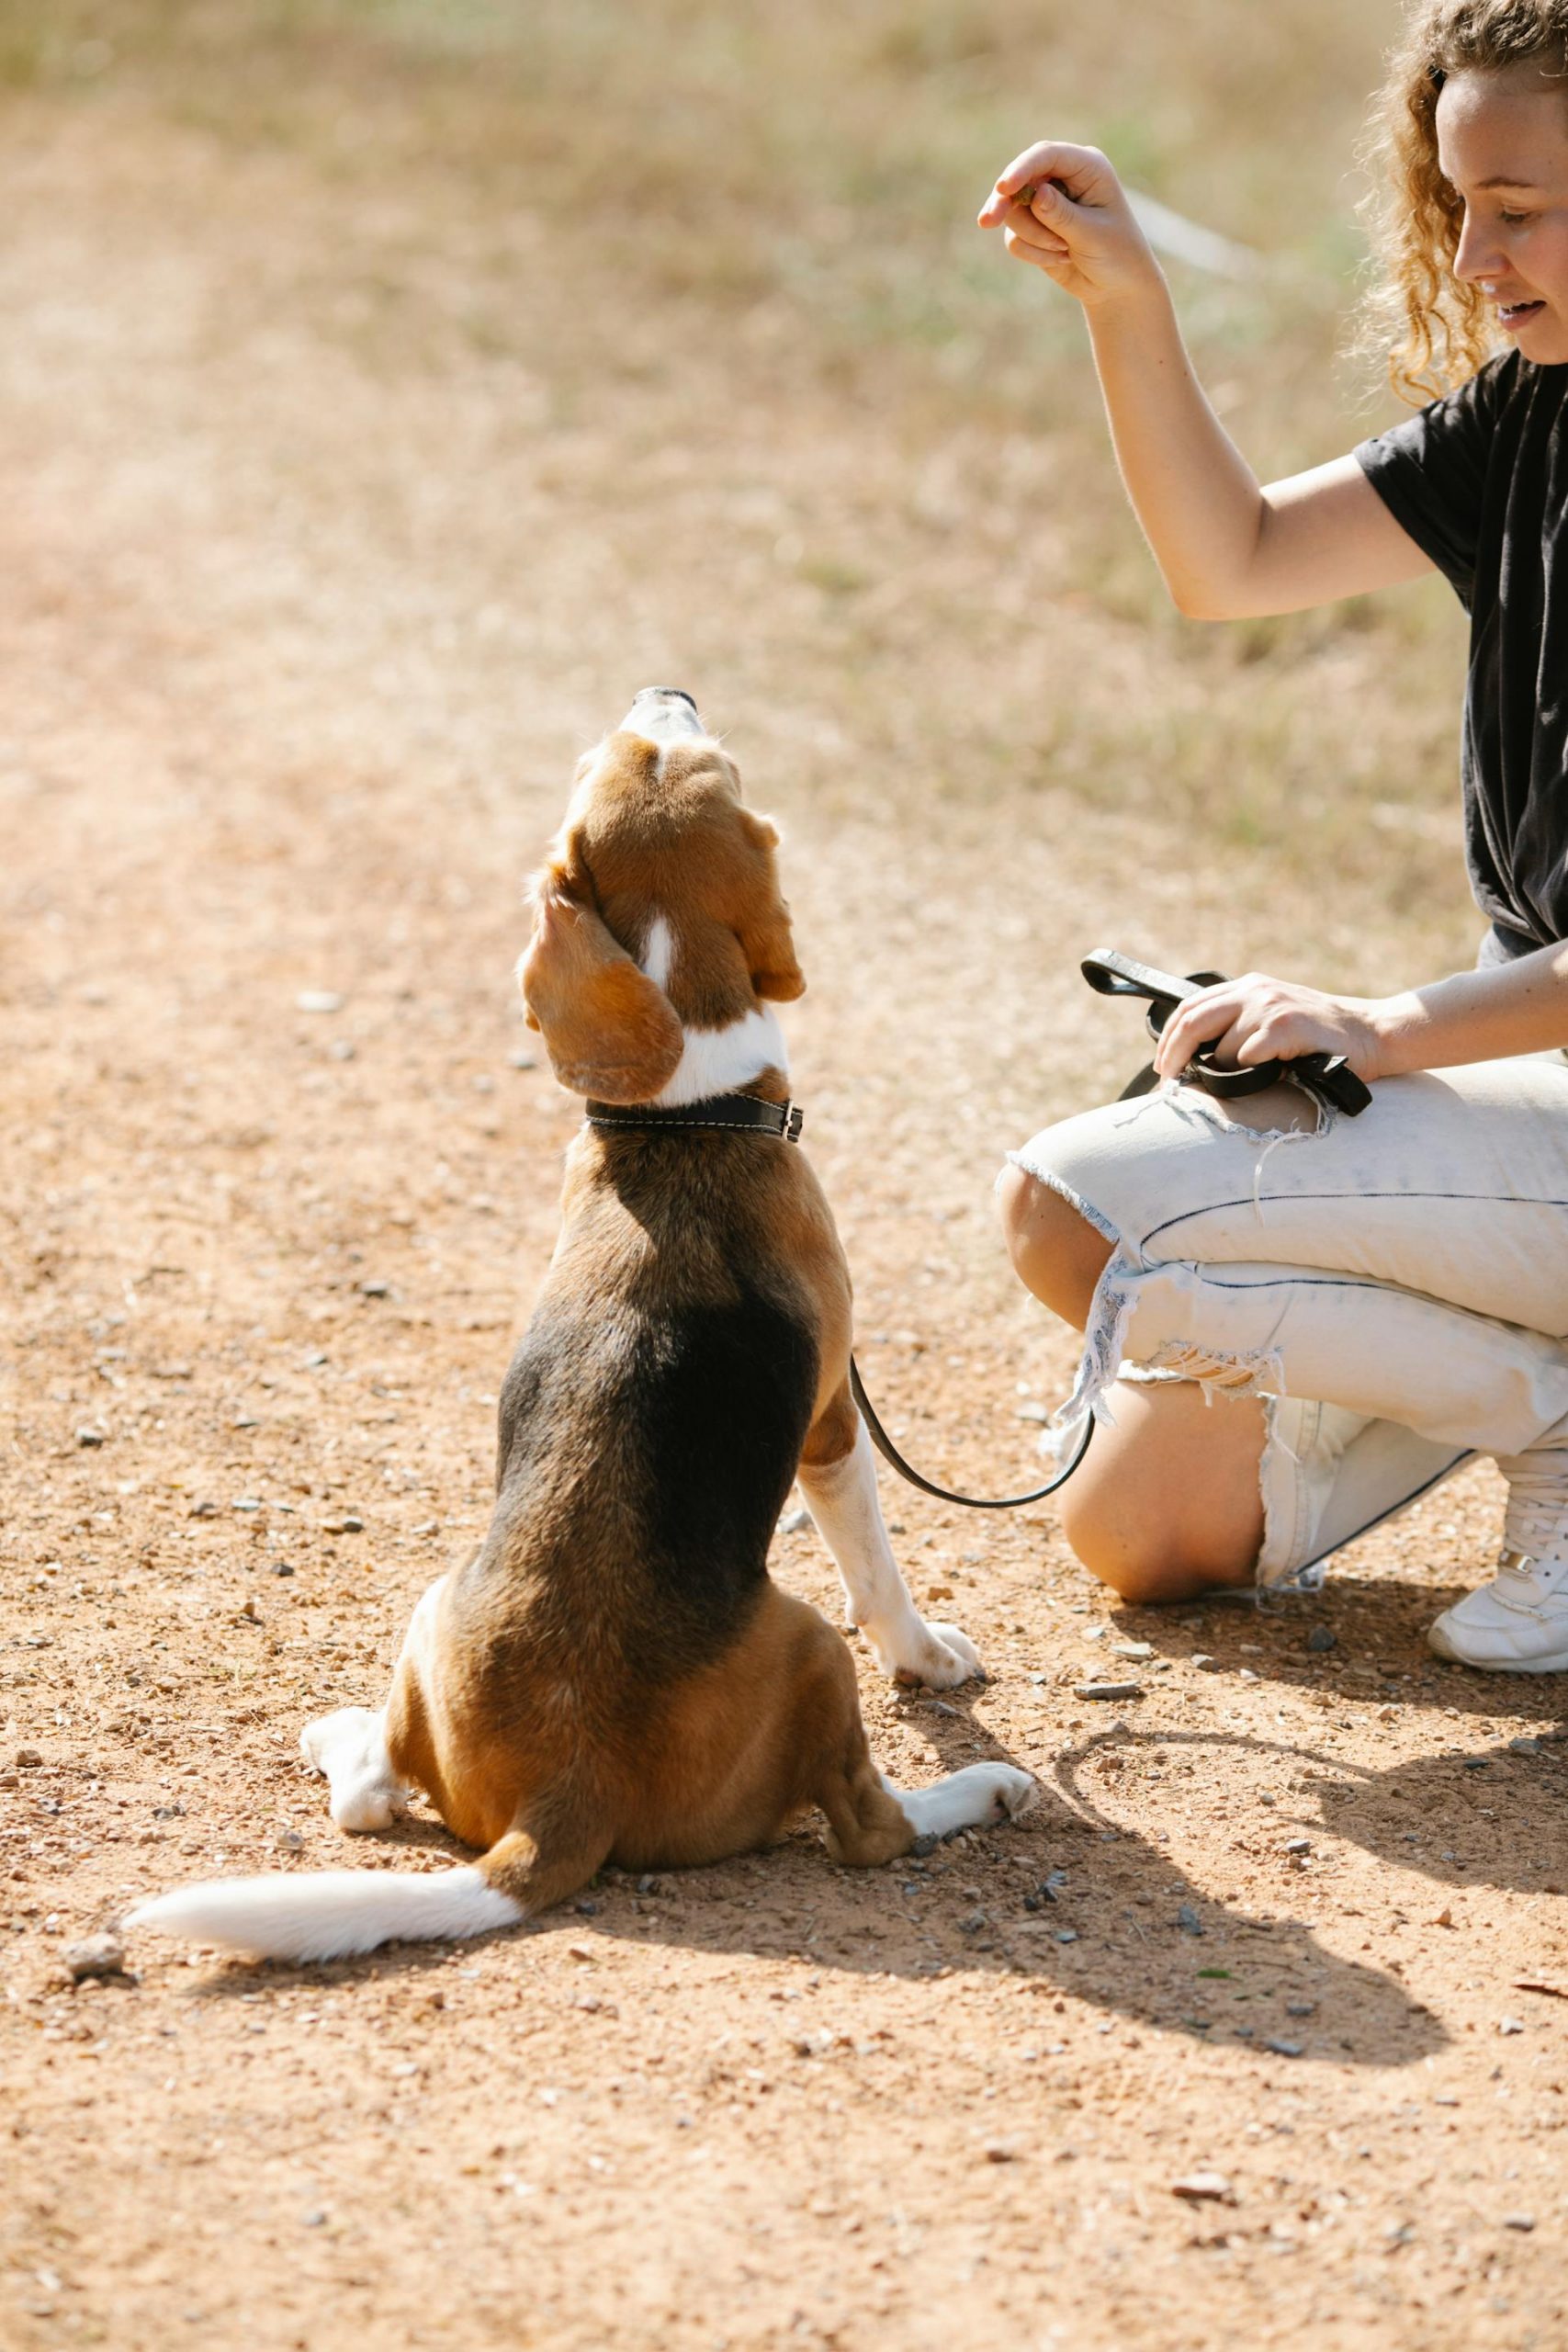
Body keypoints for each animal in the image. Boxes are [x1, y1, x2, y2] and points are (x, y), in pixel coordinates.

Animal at [129, 686, 1034, 1966]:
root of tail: (566, 1791)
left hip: (431, 1603)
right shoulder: (829, 1423)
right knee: (870, 1825)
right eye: (683, 755)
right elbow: (879, 1566)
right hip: (811, 1647)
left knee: (367, 1796)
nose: (665, 692)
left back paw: (337, 1734)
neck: (688, 1113)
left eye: (628, 757)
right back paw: (982, 1792)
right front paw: (929, 1656)